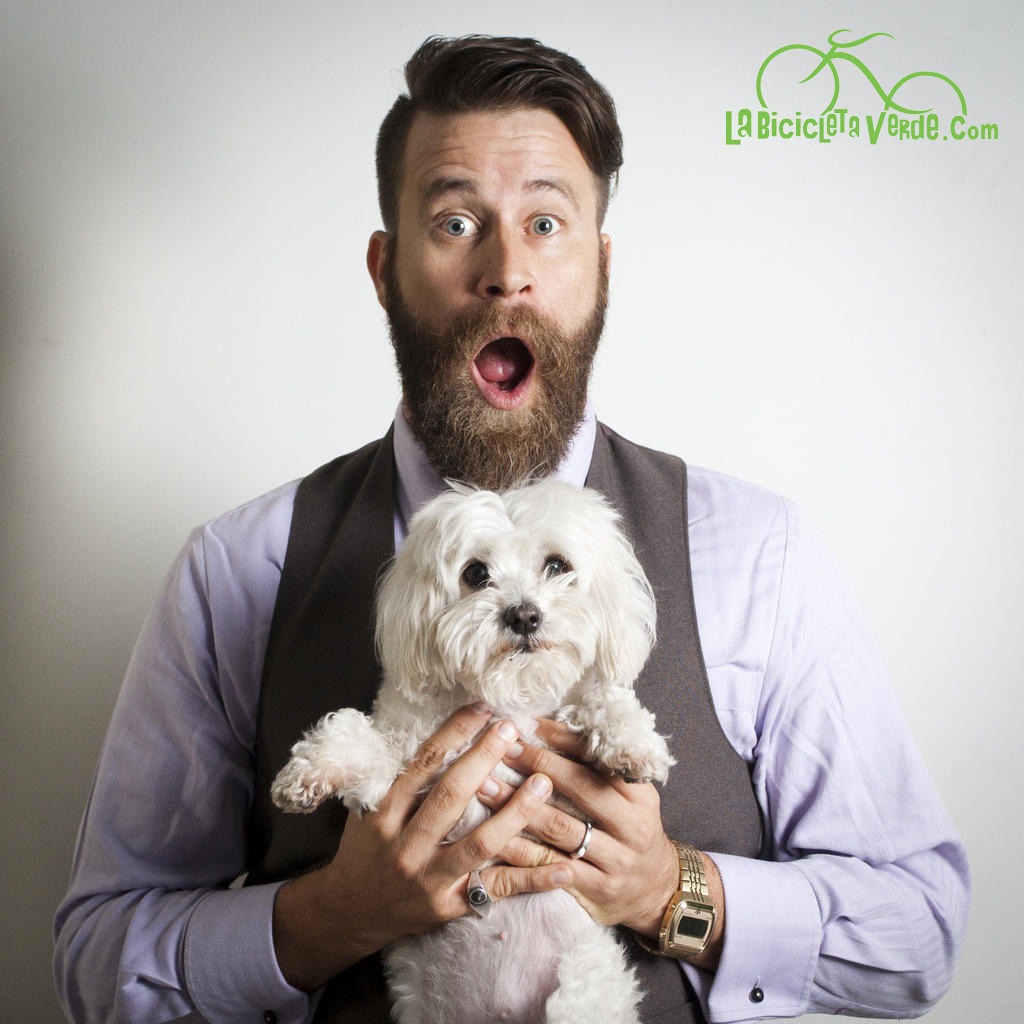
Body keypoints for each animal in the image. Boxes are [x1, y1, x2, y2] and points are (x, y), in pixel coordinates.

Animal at [268, 479, 675, 1024]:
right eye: (476, 573)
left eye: (557, 565)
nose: (524, 614)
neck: (506, 697)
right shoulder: (396, 770)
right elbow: (354, 737)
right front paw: (308, 774)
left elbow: (604, 697)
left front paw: (632, 745)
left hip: (581, 987)